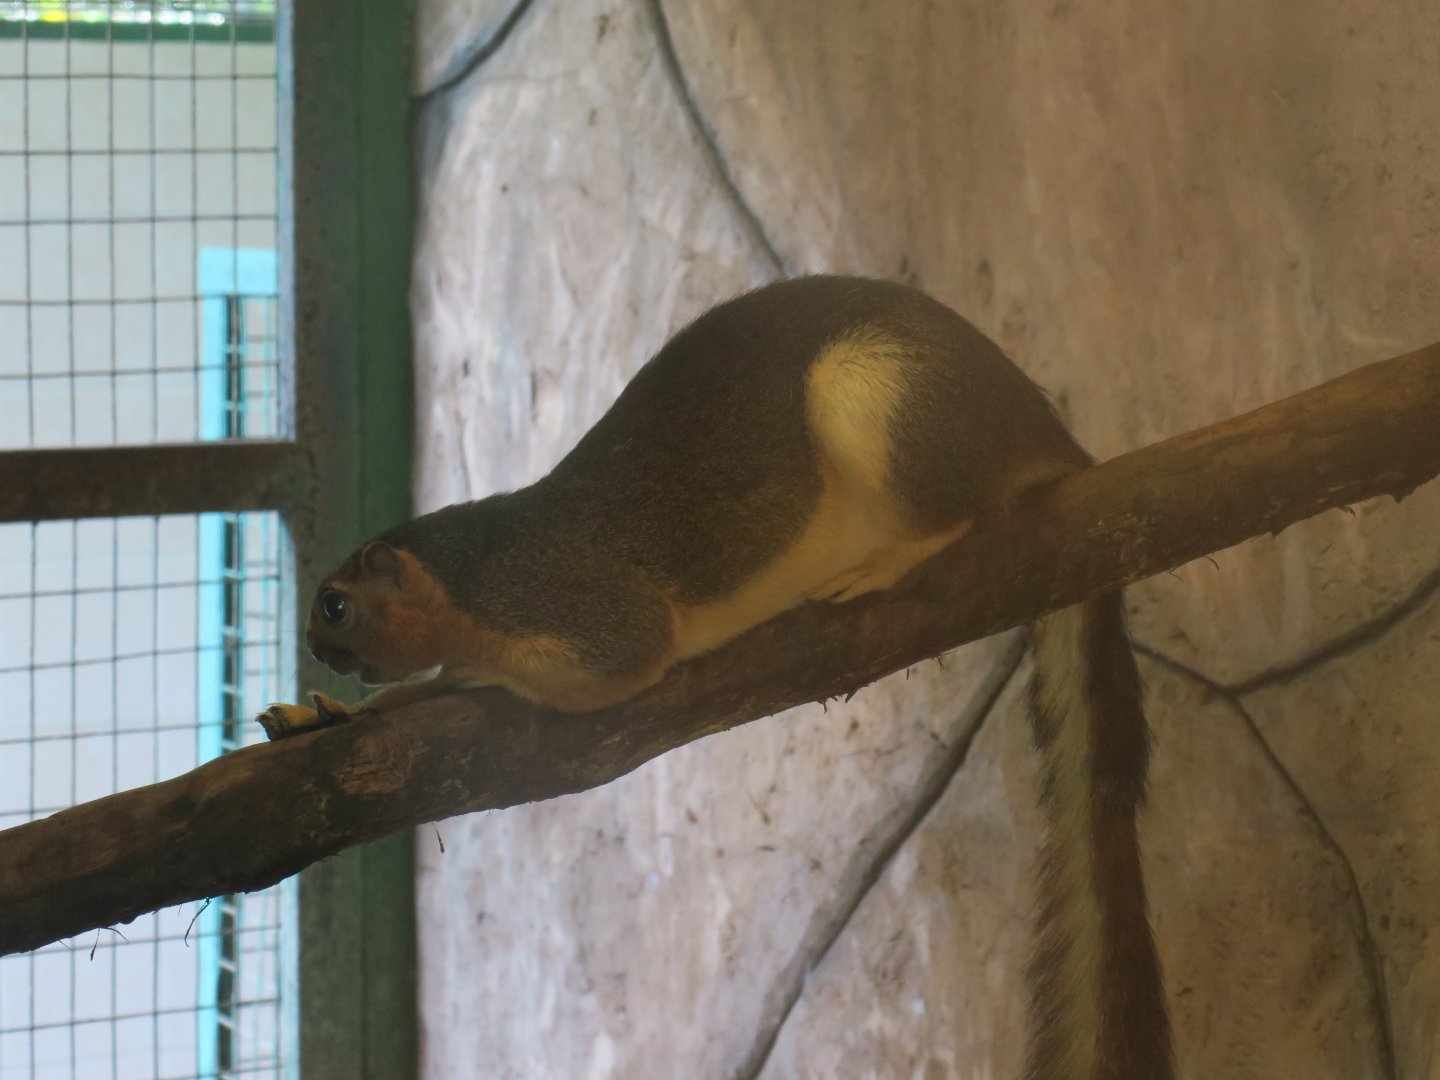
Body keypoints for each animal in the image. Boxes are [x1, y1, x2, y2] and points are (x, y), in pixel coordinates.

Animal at [258, 274, 1173, 1079]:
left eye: (336, 605)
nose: (318, 650)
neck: (475, 576)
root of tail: (1048, 437)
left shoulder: (579, 609)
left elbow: (586, 665)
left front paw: (409, 689)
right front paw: (332, 713)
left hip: (877, 392)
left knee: (961, 513)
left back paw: (891, 558)